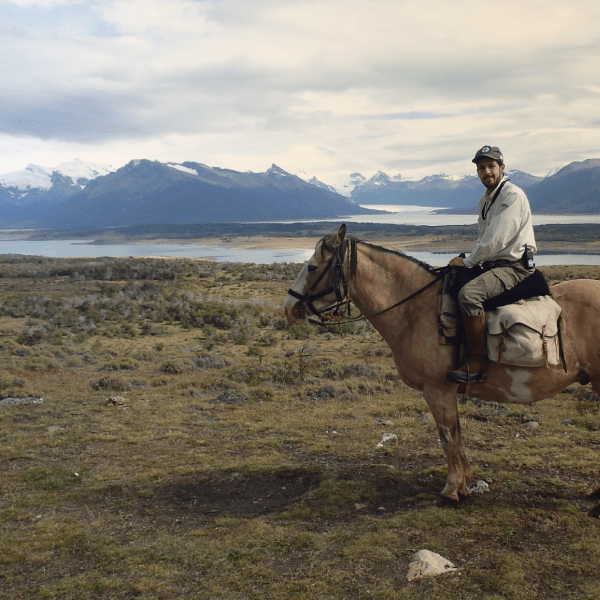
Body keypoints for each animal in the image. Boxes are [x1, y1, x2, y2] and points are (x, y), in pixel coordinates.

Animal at [284, 224, 600, 516]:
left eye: (312, 267)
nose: (289, 308)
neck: (415, 310)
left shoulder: (437, 389)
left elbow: (447, 437)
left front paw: (450, 492)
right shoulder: (447, 391)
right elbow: (457, 435)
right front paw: (465, 484)